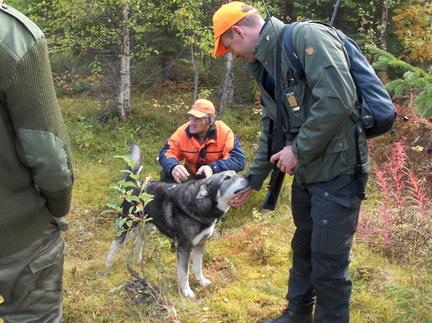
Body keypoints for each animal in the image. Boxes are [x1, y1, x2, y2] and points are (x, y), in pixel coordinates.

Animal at [104, 144, 250, 298]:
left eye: (235, 173)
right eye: (227, 178)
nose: (248, 177)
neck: (200, 206)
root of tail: (134, 186)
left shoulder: (200, 244)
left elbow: (197, 268)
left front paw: (202, 282)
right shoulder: (184, 248)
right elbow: (183, 273)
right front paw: (187, 292)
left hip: (148, 228)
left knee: (139, 242)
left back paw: (138, 261)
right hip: (128, 228)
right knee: (115, 243)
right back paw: (108, 264)